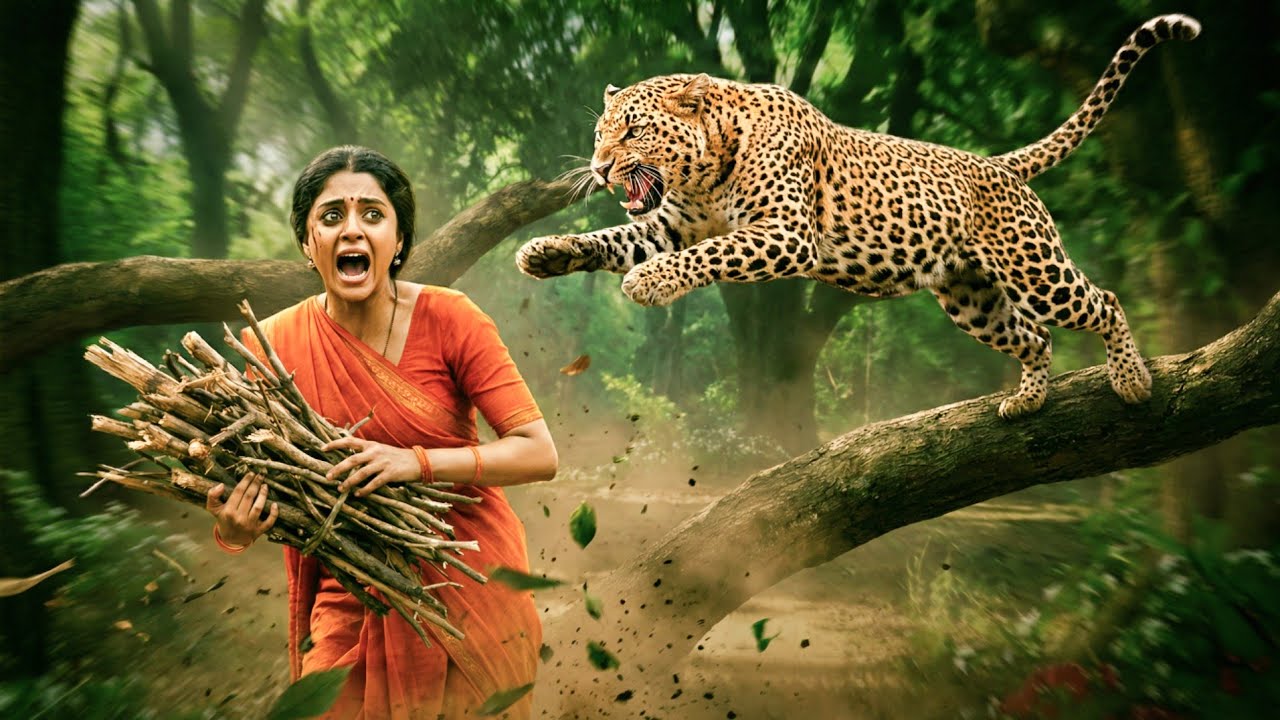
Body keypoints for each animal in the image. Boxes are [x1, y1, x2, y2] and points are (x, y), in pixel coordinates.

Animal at [517, 14, 1200, 419]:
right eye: (600, 132)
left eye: (632, 132)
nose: (601, 167)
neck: (707, 170)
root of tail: (998, 165)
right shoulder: (671, 225)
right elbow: (612, 237)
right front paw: (545, 251)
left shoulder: (785, 234)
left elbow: (708, 255)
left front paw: (651, 283)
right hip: (971, 298)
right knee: (1033, 336)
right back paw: (1027, 399)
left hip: (1034, 269)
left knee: (1102, 301)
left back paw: (1131, 379)